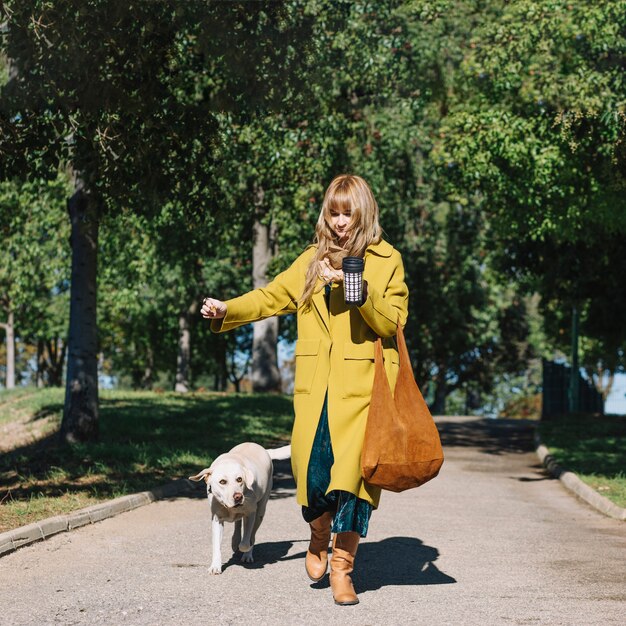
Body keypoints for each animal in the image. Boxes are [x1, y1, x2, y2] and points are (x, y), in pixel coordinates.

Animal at [188, 442, 290, 572]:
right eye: (222, 482)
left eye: (239, 479)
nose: (238, 497)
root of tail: (264, 450)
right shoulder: (216, 519)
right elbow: (216, 545)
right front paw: (215, 566)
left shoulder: (250, 514)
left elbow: (246, 541)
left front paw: (244, 548)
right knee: (237, 523)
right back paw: (235, 540)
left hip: (260, 511)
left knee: (252, 534)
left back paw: (247, 554)